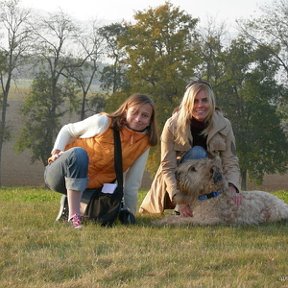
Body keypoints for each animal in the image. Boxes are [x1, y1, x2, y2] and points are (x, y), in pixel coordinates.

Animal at [154, 158, 288, 225]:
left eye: (193, 169)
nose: (176, 173)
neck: (209, 194)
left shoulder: (207, 219)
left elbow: (184, 220)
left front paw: (166, 221)